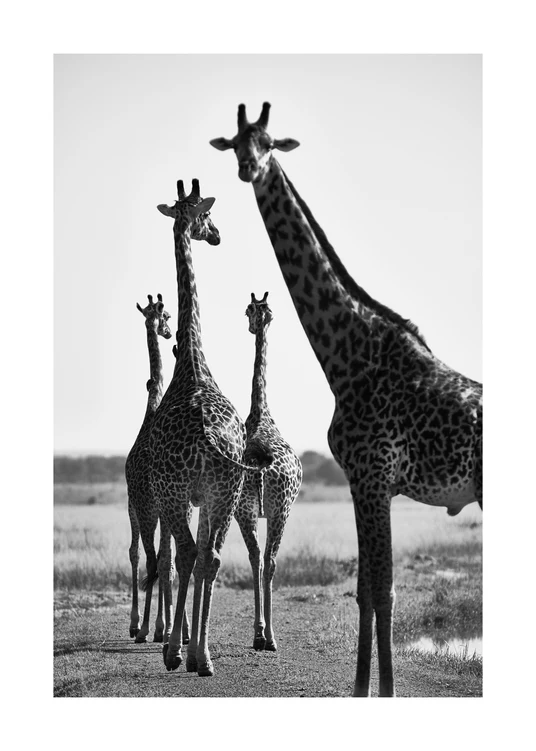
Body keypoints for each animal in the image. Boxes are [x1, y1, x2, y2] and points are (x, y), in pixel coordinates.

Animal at [210, 102, 483, 697]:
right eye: (238, 144)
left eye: (269, 143)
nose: (247, 168)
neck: (349, 357)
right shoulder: (365, 481)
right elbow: (366, 592)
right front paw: (365, 690)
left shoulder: (373, 476)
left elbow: (383, 591)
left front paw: (382, 692)